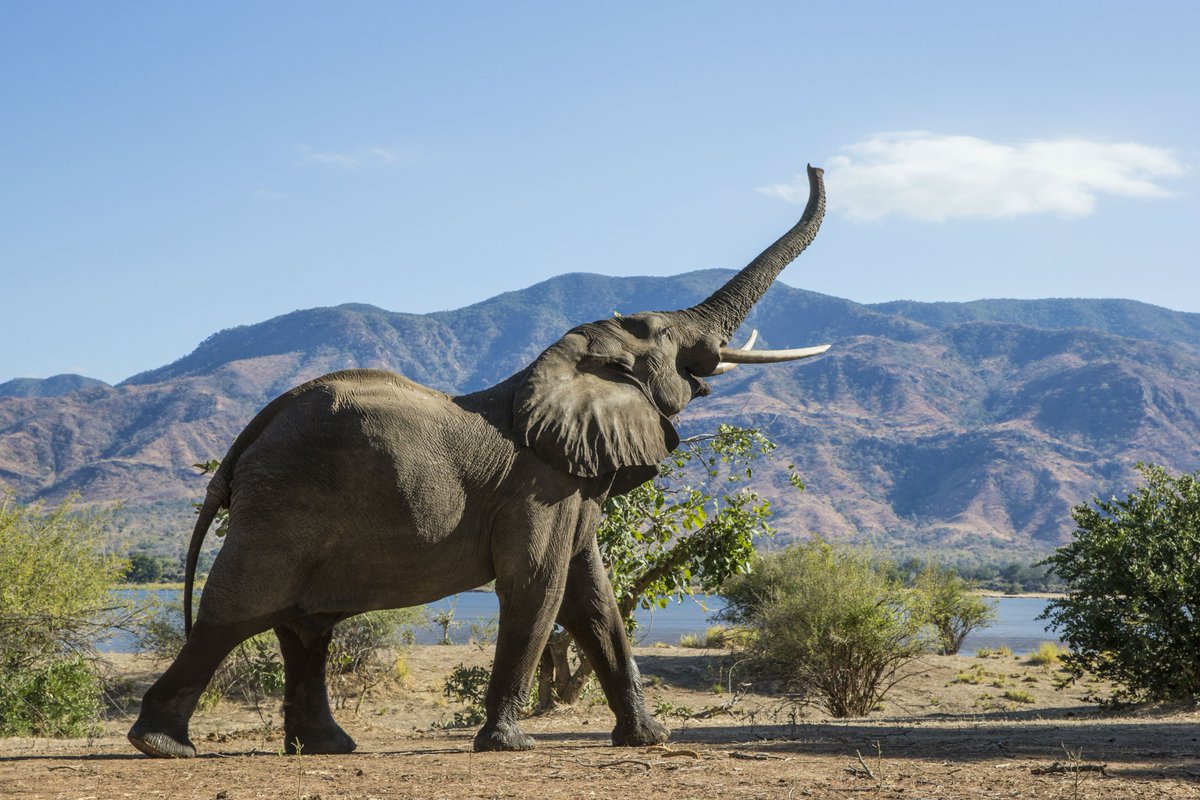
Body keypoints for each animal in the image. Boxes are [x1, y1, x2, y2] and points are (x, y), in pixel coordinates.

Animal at [128, 165, 828, 759]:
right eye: (662, 335)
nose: (816, 165)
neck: (559, 366)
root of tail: (249, 438)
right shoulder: (538, 488)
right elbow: (538, 587)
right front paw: (509, 745)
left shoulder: (571, 484)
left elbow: (593, 599)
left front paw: (647, 740)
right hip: (282, 505)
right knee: (237, 613)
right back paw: (162, 746)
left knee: (303, 629)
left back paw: (327, 747)